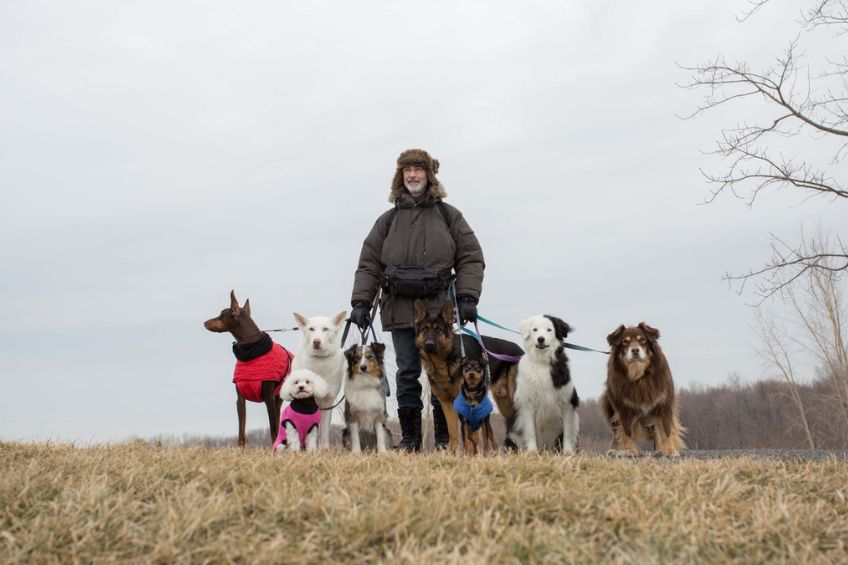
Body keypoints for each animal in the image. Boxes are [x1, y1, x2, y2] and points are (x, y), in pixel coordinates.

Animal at [292, 310, 344, 448]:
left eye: (325, 329)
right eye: (311, 329)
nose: (316, 341)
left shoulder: (328, 402)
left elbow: (324, 430)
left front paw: (324, 449)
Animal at [506, 316, 580, 452]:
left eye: (549, 330)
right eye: (535, 329)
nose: (541, 339)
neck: (542, 362)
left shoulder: (567, 402)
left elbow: (567, 433)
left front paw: (567, 452)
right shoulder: (527, 403)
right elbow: (530, 431)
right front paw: (532, 451)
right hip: (513, 427)